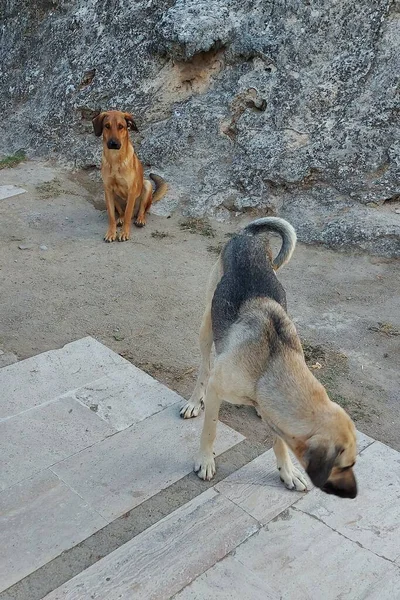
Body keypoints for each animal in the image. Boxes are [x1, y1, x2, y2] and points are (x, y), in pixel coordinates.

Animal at [92, 111, 167, 243]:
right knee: (122, 213)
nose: (113, 143)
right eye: (107, 126)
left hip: (147, 185)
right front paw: (111, 233)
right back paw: (120, 219)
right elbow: (111, 216)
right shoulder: (108, 190)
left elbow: (128, 214)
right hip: (114, 196)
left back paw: (140, 219)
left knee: (141, 210)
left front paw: (124, 233)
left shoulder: (131, 191)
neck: (115, 160)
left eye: (121, 126)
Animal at [183, 218, 358, 500]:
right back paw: (193, 402)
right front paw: (205, 460)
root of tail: (247, 235)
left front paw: (287, 472)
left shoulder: (277, 420)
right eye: (343, 466)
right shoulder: (217, 389)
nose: (354, 496)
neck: (269, 364)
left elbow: (280, 443)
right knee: (204, 368)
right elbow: (210, 428)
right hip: (207, 325)